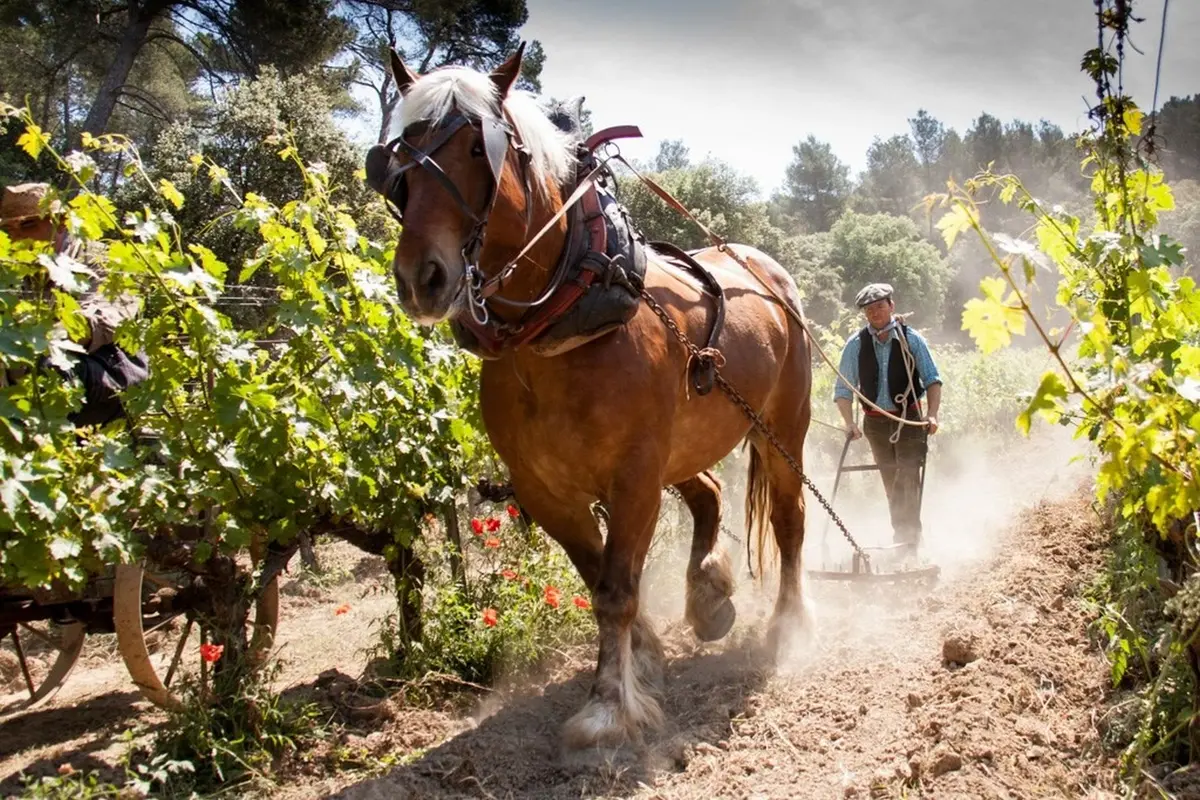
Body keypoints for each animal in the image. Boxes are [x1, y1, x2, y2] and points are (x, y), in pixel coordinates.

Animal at [364, 44, 815, 749]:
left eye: (478, 147)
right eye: (398, 155)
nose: (421, 277)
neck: (562, 324)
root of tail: (768, 270)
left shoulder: (632, 477)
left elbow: (615, 590)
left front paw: (608, 706)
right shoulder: (545, 489)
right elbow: (595, 573)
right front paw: (646, 661)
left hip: (780, 430)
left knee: (790, 520)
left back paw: (788, 623)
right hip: (682, 444)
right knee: (709, 493)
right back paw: (707, 594)